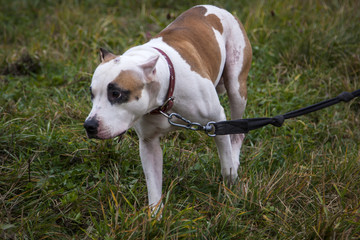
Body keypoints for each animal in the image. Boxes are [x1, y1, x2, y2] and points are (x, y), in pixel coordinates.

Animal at [84, 4, 253, 211]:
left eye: (116, 94)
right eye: (91, 94)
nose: (89, 125)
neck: (165, 97)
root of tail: (215, 7)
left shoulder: (216, 121)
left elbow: (226, 163)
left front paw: (231, 189)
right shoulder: (148, 144)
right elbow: (154, 186)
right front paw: (155, 216)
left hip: (237, 88)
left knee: (238, 133)